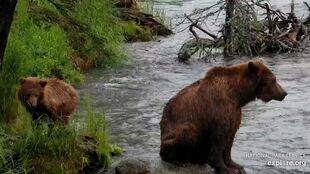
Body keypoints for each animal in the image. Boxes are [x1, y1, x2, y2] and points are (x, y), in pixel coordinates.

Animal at [160, 58, 288, 174]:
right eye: (273, 80)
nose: (284, 93)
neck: (237, 94)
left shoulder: (234, 112)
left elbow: (230, 138)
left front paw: (236, 166)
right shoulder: (219, 108)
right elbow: (219, 138)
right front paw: (225, 168)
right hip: (177, 128)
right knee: (187, 133)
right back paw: (178, 160)